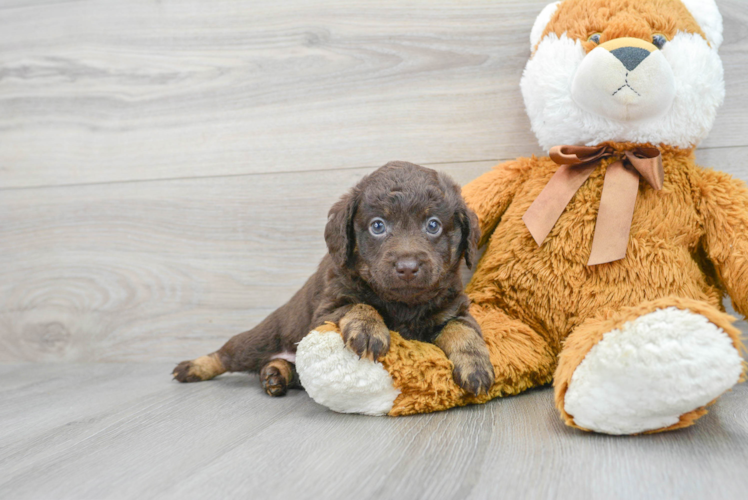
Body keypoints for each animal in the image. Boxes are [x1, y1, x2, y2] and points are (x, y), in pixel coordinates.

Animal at [172, 162, 494, 396]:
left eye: (433, 225)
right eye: (378, 226)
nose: (407, 267)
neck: (403, 304)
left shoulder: (454, 310)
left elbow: (463, 332)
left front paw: (475, 364)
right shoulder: (327, 309)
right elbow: (360, 305)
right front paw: (369, 328)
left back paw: (275, 374)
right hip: (261, 340)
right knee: (227, 353)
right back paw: (194, 367)